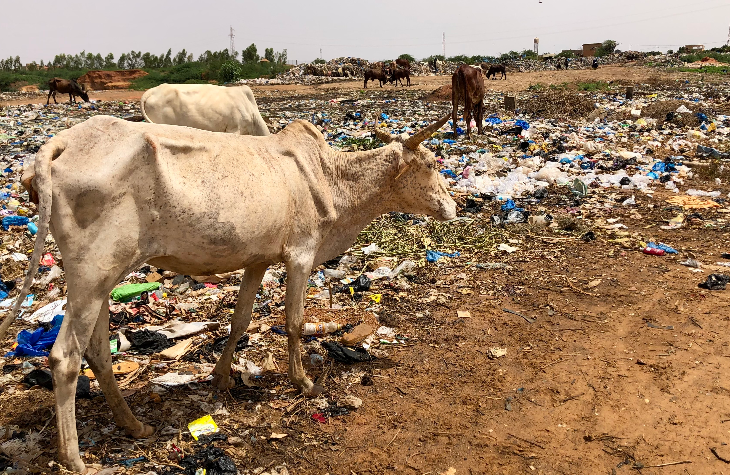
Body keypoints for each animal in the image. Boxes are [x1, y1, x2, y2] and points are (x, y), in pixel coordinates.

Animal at [8, 113, 456, 474]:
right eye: (431, 163)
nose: (453, 208)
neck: (332, 178)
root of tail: (59, 144)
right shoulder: (301, 254)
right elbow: (294, 322)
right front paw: (303, 382)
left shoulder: (258, 260)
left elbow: (240, 320)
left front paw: (221, 378)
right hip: (94, 271)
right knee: (65, 357)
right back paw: (74, 458)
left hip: (99, 278)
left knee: (98, 351)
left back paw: (134, 425)